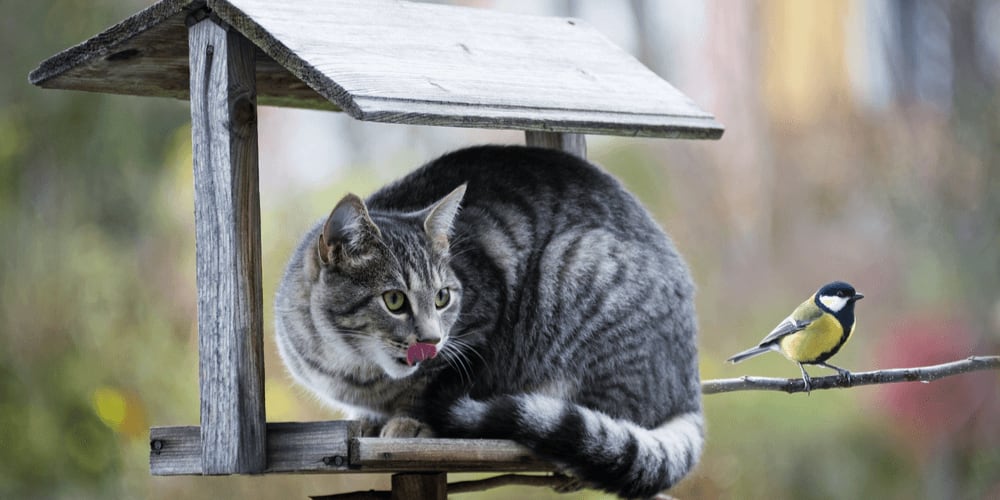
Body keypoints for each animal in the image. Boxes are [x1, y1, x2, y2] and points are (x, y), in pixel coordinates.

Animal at [274, 144, 704, 496]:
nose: (431, 339)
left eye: (443, 297)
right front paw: (367, 420)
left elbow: (432, 386)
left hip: (577, 265)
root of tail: (689, 386)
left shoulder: (479, 327)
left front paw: (410, 420)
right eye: (394, 300)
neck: (354, 369)